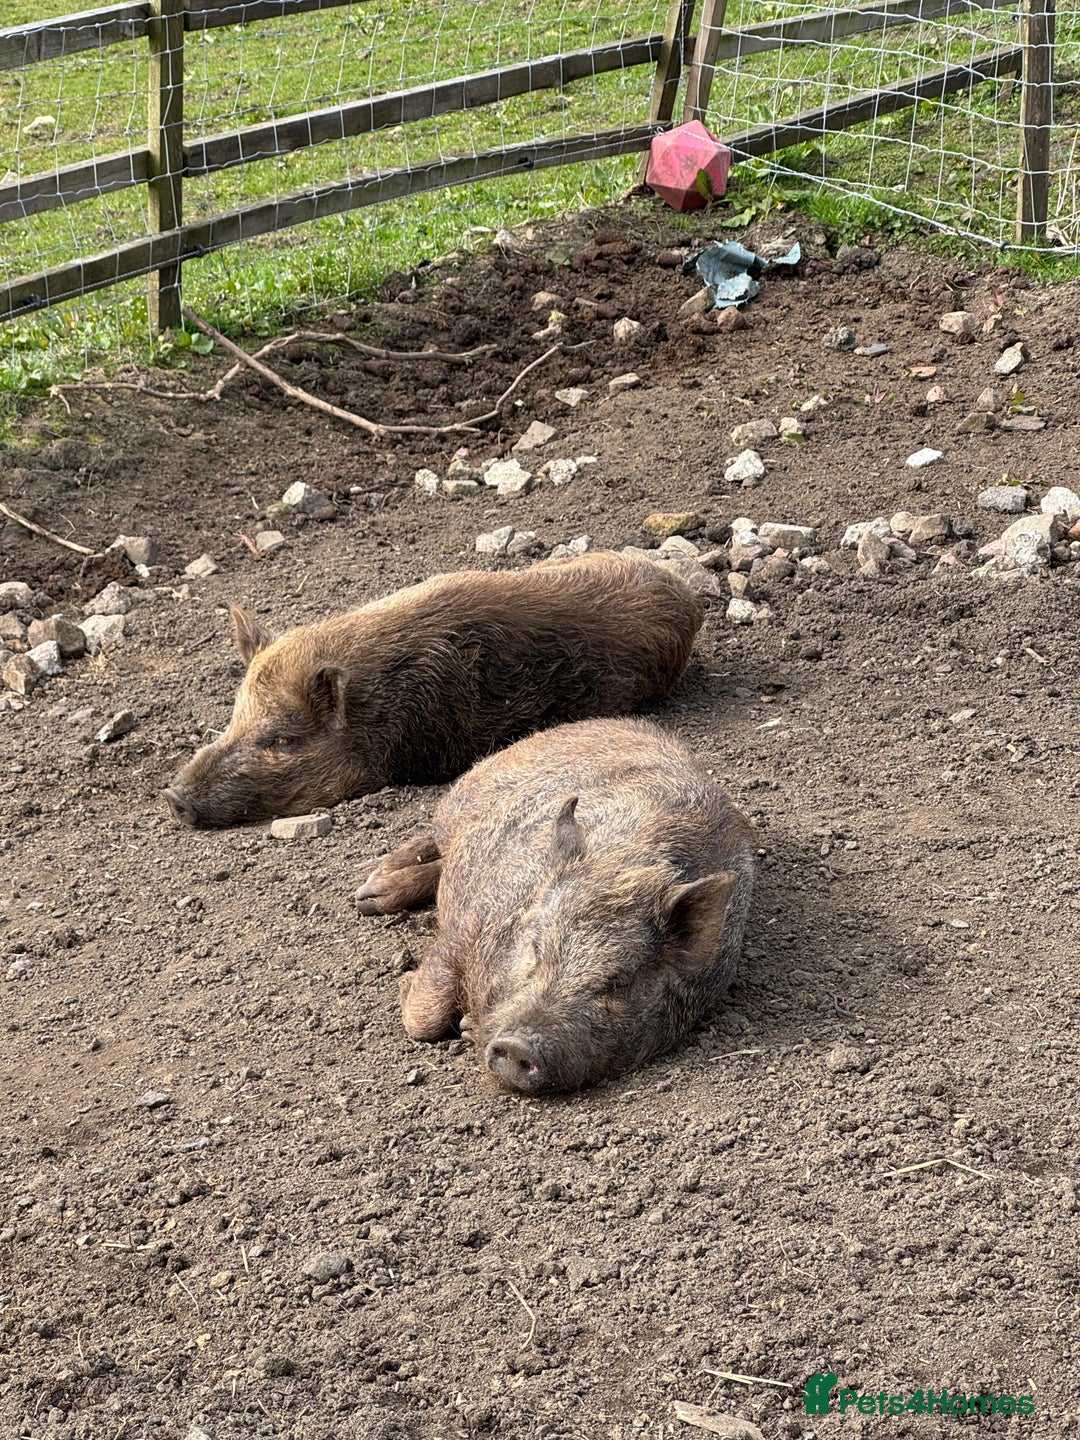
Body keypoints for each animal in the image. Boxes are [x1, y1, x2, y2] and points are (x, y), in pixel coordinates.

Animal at [356, 717, 755, 1093]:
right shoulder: (464, 927)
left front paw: (466, 1027)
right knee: (435, 839)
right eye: (535, 948)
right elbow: (427, 1015)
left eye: (619, 981)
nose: (517, 1046)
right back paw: (369, 894)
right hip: (464, 798)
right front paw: (406, 983)